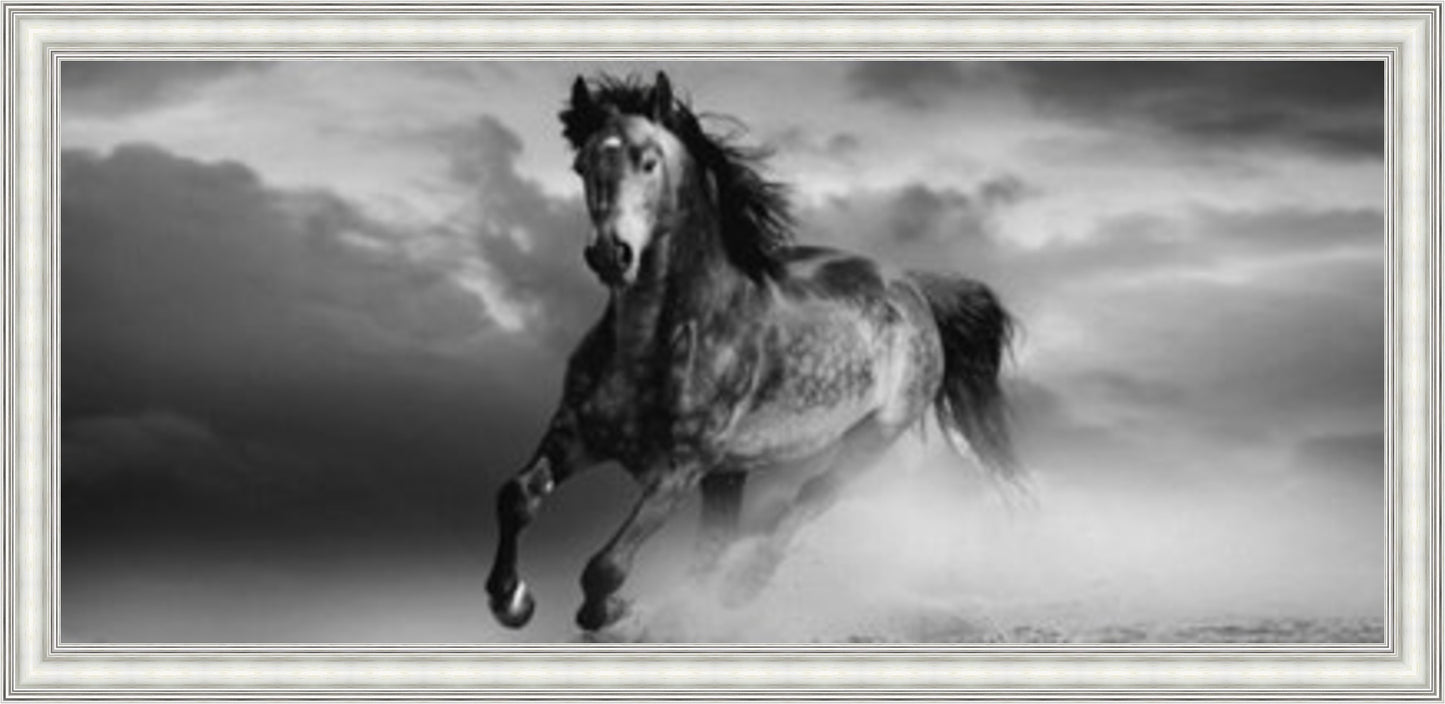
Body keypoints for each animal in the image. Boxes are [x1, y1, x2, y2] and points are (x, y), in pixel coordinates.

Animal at [485, 71, 1019, 633]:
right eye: (581, 165)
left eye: (648, 161)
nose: (611, 253)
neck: (652, 343)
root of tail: (911, 286)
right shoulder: (576, 434)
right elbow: (516, 496)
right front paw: (512, 601)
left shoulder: (678, 469)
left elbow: (605, 565)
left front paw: (608, 610)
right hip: (731, 472)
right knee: (716, 543)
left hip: (873, 436)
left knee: (810, 497)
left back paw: (740, 588)